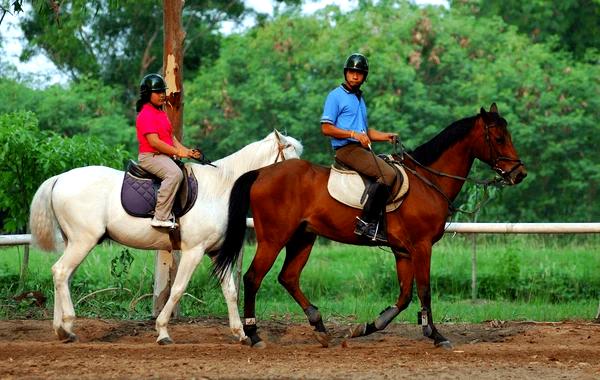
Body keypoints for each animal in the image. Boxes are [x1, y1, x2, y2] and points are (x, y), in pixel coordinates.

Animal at [28, 131, 302, 344]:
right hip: (83, 241)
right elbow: (178, 289)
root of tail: (60, 178)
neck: (220, 188)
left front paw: (241, 334)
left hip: (75, 242)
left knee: (62, 275)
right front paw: (162, 332)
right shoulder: (193, 251)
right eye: (291, 162)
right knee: (61, 272)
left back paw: (62, 329)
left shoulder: (214, 252)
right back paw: (67, 326)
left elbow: (230, 291)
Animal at [214, 102, 524, 348]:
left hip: (303, 238)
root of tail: (261, 173)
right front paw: (436, 335)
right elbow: (424, 290)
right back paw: (253, 335)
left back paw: (320, 327)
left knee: (288, 277)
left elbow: (404, 296)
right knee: (253, 278)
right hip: (273, 238)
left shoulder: (403, 250)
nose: (519, 174)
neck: (428, 181)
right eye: (498, 137)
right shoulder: (421, 246)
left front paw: (365, 327)